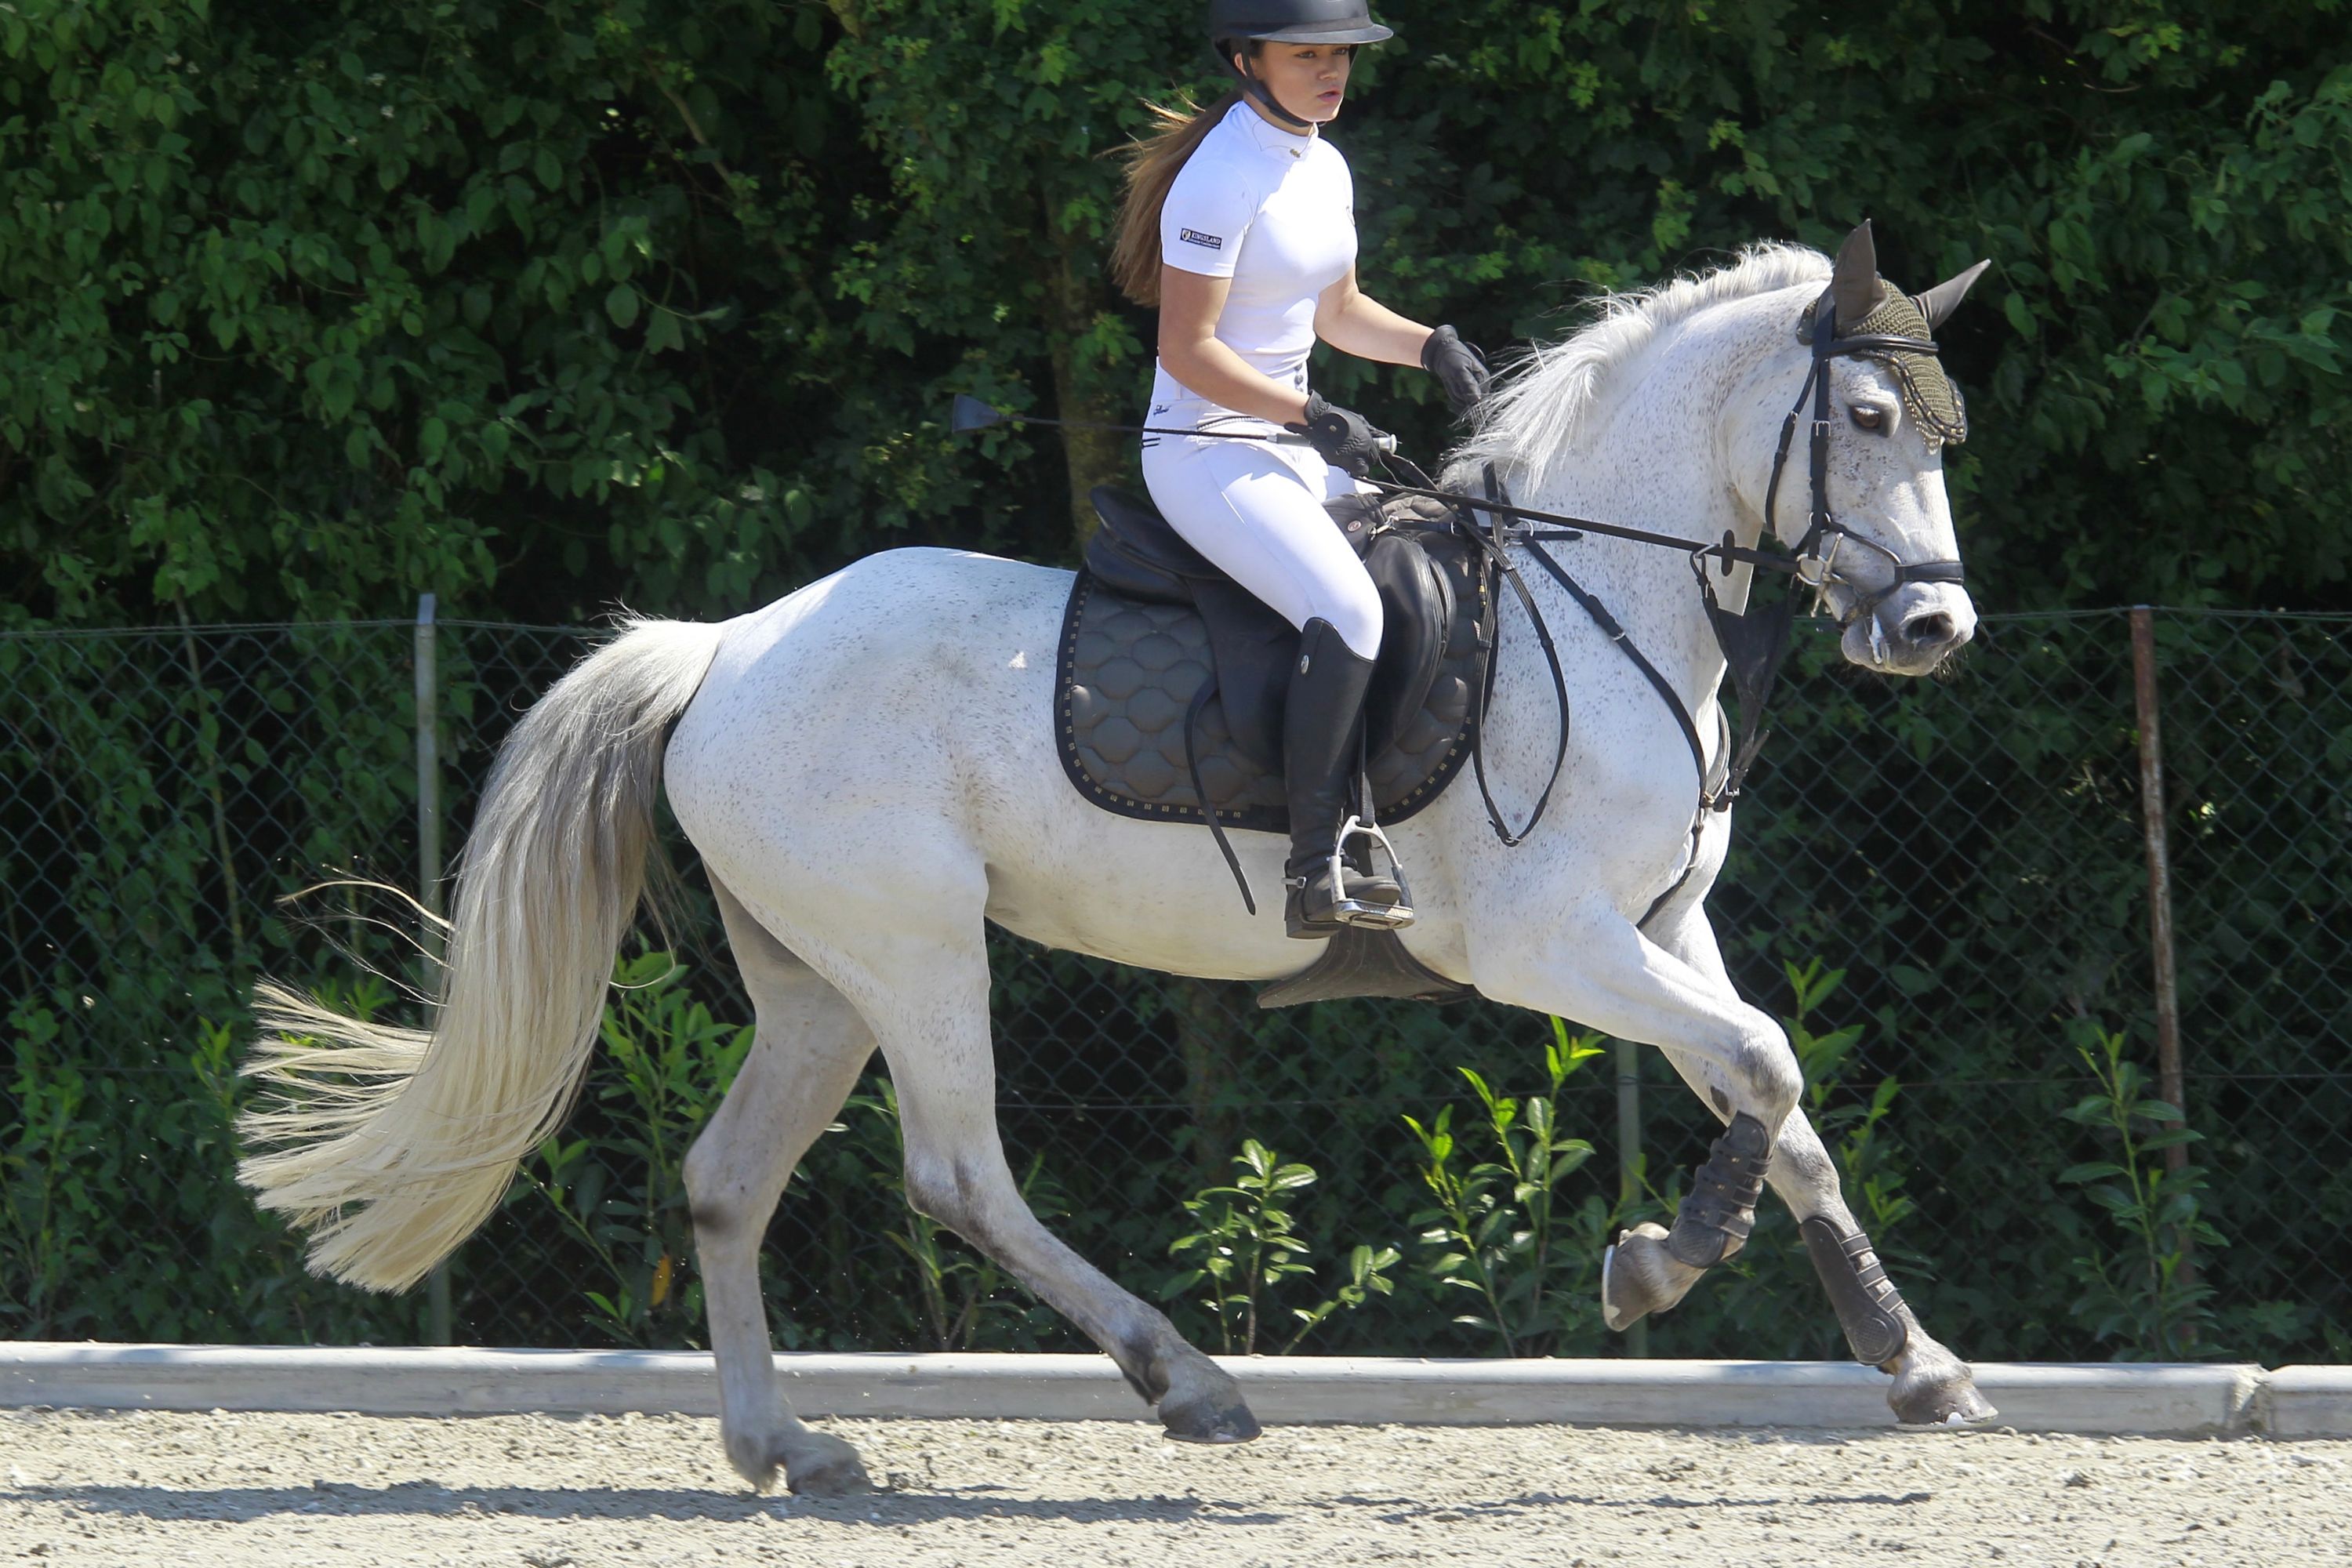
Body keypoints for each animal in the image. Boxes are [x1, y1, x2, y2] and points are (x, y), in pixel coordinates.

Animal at [238, 226, 1997, 1496]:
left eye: (1944, 429)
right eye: (1866, 419)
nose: (1933, 629)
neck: (1598, 596)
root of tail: (723, 644)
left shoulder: (1663, 931)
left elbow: (1788, 1112)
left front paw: (1917, 1367)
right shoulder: (1549, 941)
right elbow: (1769, 1068)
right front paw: (1653, 1271)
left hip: (818, 975)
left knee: (730, 1181)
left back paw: (784, 1445)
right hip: (918, 951)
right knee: (959, 1175)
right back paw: (1187, 1383)